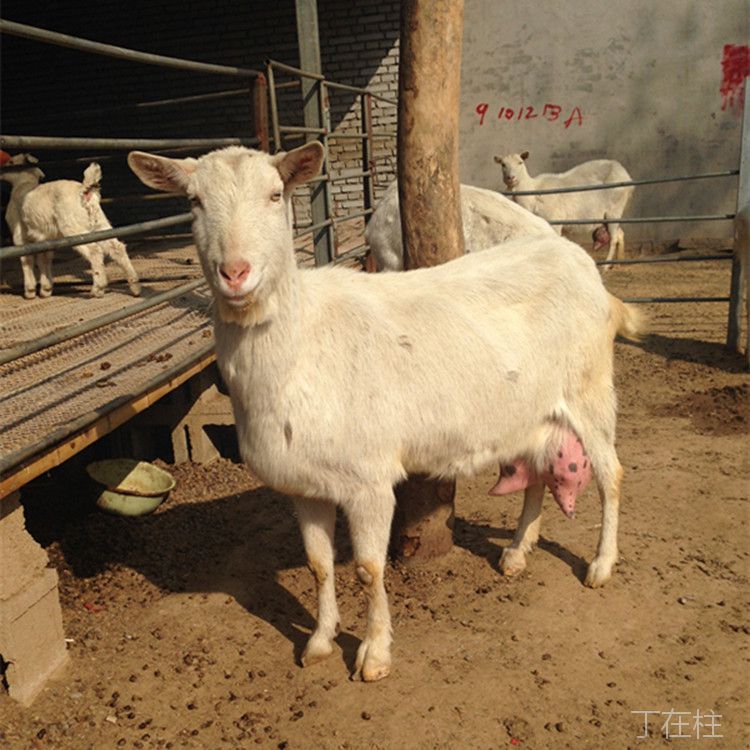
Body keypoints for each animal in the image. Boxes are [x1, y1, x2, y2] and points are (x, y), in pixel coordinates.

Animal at [0, 152, 141, 300]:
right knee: (117, 247)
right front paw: (45, 289)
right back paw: (135, 286)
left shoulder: (19, 234)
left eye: (11, 162)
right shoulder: (46, 237)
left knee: (94, 250)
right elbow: (44, 258)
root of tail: (84, 190)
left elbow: (26, 259)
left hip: (73, 227)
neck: (24, 183)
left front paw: (30, 291)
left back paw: (98, 288)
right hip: (100, 223)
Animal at [496, 150, 636, 264]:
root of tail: (625, 175)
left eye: (520, 162)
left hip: (614, 210)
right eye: (503, 164)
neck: (533, 193)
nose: (511, 178)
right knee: (620, 234)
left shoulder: (554, 222)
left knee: (614, 238)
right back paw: (617, 262)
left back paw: (606, 267)